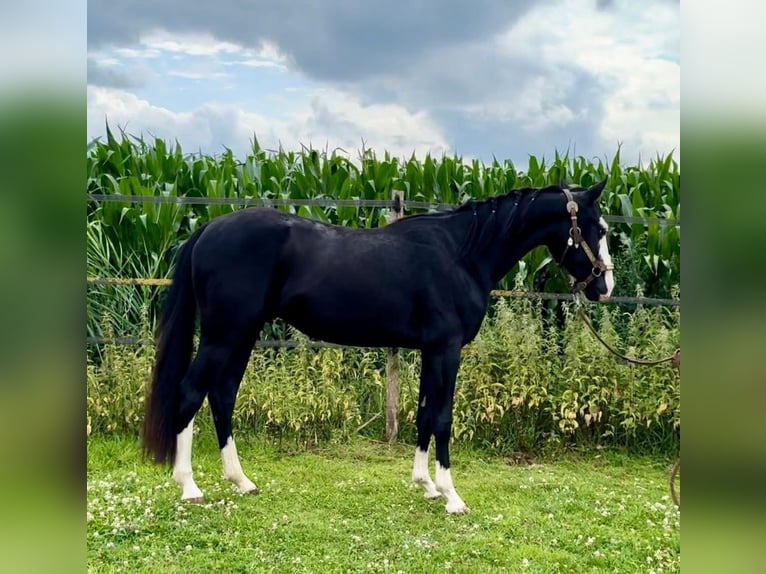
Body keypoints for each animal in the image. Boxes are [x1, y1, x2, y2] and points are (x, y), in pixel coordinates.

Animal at [141, 180, 614, 514]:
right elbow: (442, 417)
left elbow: (424, 414)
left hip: (242, 335)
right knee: (190, 393)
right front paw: (451, 496)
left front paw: (425, 486)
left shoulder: (431, 351)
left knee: (221, 396)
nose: (604, 287)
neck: (461, 254)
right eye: (598, 228)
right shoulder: (447, 349)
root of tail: (208, 228)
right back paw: (189, 486)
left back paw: (241, 481)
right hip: (224, 335)